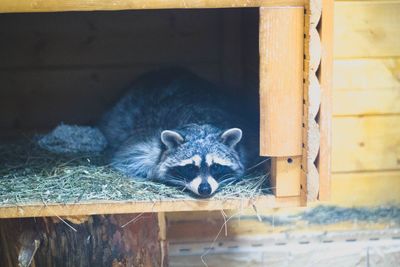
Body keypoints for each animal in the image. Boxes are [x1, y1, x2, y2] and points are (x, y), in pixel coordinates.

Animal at [98, 68, 258, 199]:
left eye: (216, 166)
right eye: (190, 167)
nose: (205, 189)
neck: (200, 123)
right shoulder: (145, 144)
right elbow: (128, 159)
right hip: (122, 113)